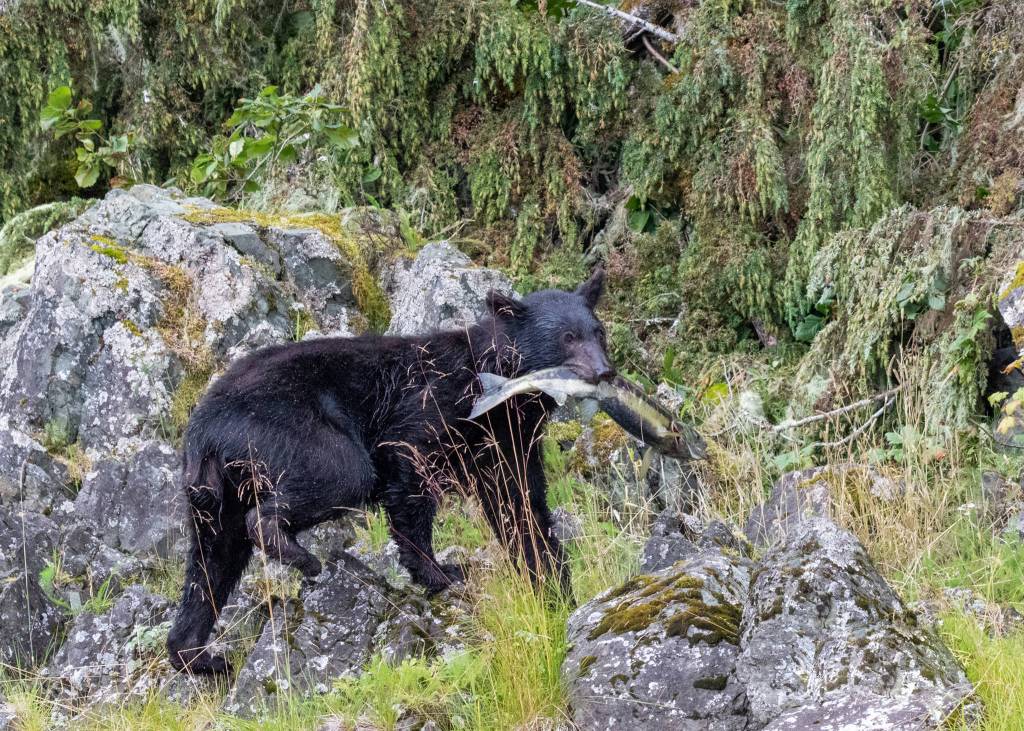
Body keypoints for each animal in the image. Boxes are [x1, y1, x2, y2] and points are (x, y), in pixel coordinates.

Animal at [166, 269, 615, 674]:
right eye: (567, 338)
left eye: (598, 331)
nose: (604, 371)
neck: (502, 391)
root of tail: (203, 428)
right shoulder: (434, 405)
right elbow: (410, 473)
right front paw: (440, 571)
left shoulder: (509, 440)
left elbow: (521, 504)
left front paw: (553, 583)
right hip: (286, 430)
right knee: (339, 475)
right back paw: (298, 554)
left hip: (215, 489)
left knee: (211, 561)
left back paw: (197, 654)